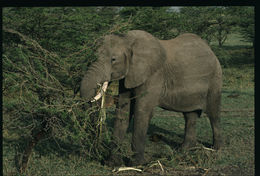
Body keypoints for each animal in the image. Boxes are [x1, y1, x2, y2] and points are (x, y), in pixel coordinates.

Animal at [80, 29, 222, 166]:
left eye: (113, 60)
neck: (128, 40)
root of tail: (211, 50)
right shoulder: (129, 75)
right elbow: (123, 111)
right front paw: (112, 163)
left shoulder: (154, 75)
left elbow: (141, 111)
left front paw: (138, 164)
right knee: (190, 115)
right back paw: (184, 150)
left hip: (215, 78)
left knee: (213, 113)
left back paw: (216, 149)